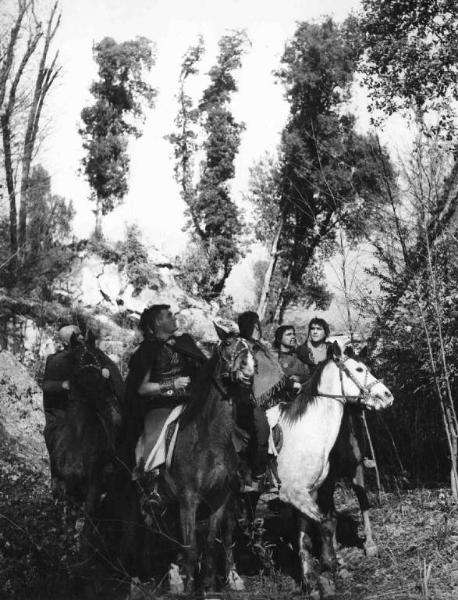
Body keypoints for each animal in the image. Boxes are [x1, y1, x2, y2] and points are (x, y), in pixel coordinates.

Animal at [264, 340, 394, 596]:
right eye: (359, 369)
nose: (387, 396)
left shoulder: (313, 490)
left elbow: (308, 534)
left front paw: (311, 580)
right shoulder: (296, 492)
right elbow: (326, 522)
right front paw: (331, 568)